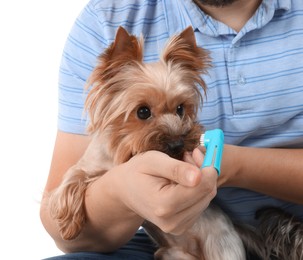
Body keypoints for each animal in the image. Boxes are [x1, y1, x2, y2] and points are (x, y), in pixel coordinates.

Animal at [49, 25, 303, 258]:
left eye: (181, 108)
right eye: (142, 112)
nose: (177, 145)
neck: (124, 151)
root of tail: (235, 227)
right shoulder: (91, 165)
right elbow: (71, 178)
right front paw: (68, 223)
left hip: (221, 248)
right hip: (170, 254)